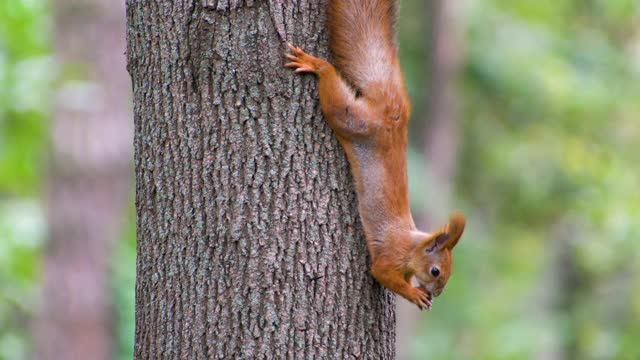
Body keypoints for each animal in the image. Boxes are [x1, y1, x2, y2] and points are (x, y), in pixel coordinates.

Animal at [284, 0, 464, 310]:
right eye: (435, 271)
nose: (436, 294)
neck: (411, 246)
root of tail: (393, 109)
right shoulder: (390, 255)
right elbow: (380, 273)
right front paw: (414, 294)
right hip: (353, 120)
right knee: (332, 89)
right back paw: (315, 64)